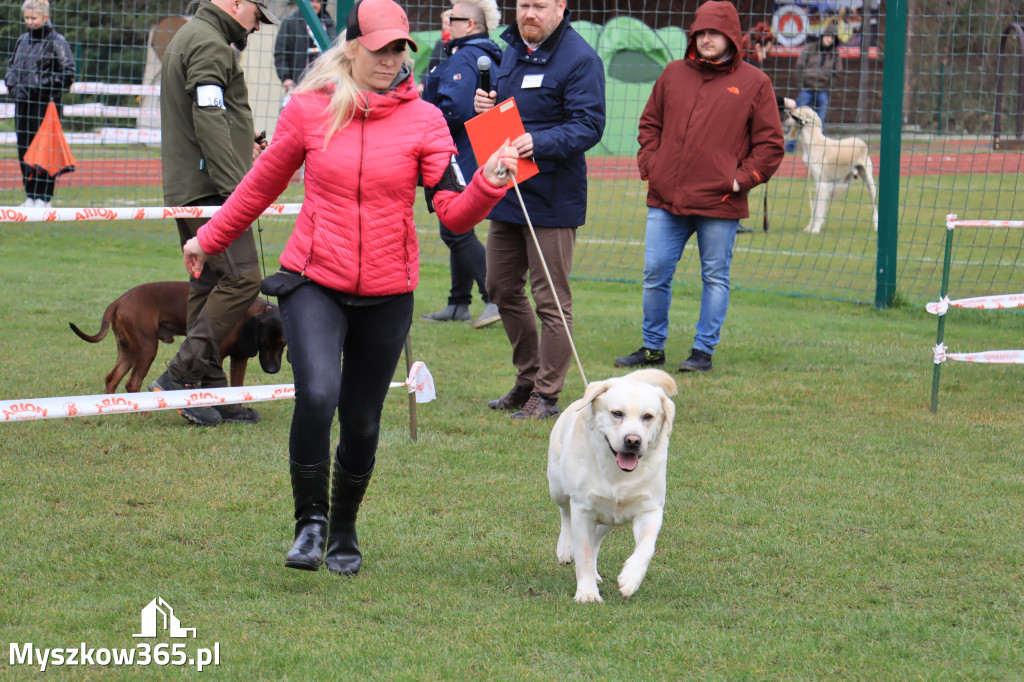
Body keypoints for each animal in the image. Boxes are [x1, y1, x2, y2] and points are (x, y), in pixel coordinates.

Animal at [69, 278, 284, 391]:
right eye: (263, 343)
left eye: (283, 344)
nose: (273, 370)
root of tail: (119, 301)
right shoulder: (216, 357)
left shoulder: (239, 358)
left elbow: (237, 387)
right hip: (146, 350)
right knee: (132, 383)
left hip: (128, 350)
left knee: (112, 378)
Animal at [548, 366, 675, 602]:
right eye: (617, 413)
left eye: (648, 417)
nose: (633, 441)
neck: (618, 475)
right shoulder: (583, 509)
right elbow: (583, 552)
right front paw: (587, 593)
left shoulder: (650, 509)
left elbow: (647, 547)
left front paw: (631, 579)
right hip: (558, 487)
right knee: (565, 515)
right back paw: (566, 549)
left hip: (613, 518)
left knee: (597, 537)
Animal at [782, 102, 880, 235]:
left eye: (794, 112)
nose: (784, 121)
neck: (814, 141)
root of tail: (861, 141)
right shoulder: (819, 183)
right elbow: (816, 206)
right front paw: (810, 227)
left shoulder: (822, 184)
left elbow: (819, 209)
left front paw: (815, 229)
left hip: (870, 182)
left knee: (874, 207)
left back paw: (876, 226)